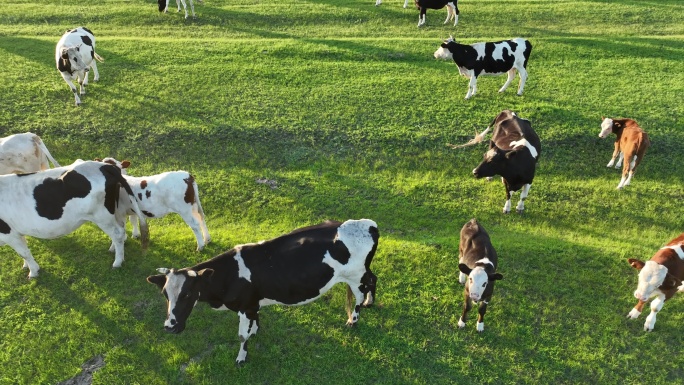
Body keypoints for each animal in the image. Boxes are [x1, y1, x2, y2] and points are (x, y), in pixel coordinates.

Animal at [0, 160, 149, 278]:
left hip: (102, 216)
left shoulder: (8, 233)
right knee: (121, 228)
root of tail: (104, 165)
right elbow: (23, 248)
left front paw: (33, 272)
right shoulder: (16, 232)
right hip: (113, 211)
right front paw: (26, 266)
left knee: (118, 233)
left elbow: (24, 252)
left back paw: (117, 262)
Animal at [148, 219, 380, 364]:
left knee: (359, 295)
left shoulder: (245, 306)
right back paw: (370, 302)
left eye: (187, 294)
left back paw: (353, 319)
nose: (170, 327)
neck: (229, 276)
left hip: (355, 276)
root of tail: (367, 224)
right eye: (165, 295)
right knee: (373, 279)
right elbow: (254, 323)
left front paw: (241, 358)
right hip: (363, 272)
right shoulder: (252, 304)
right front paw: (256, 331)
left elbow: (242, 336)